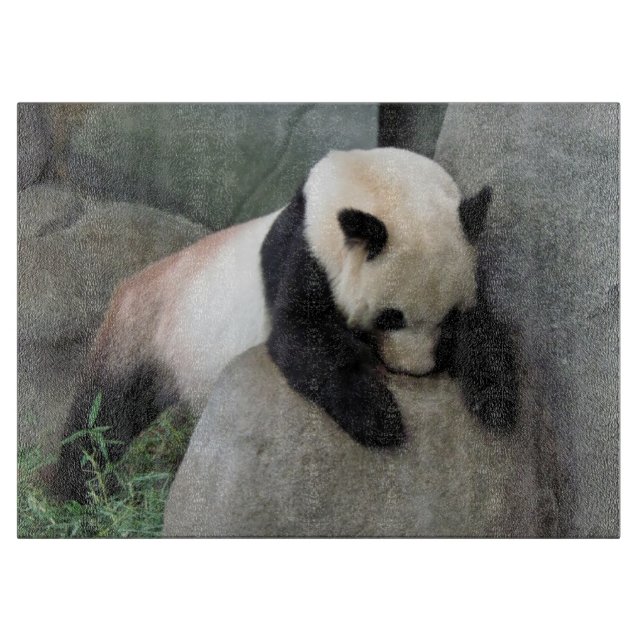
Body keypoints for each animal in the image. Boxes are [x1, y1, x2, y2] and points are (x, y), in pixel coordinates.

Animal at [54, 147, 517, 502]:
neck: (366, 180)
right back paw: (74, 492)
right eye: (391, 316)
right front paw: (379, 416)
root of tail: (131, 283)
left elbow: (486, 325)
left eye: (449, 317)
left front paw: (495, 399)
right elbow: (301, 337)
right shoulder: (303, 248)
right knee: (103, 414)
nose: (416, 370)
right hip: (144, 328)